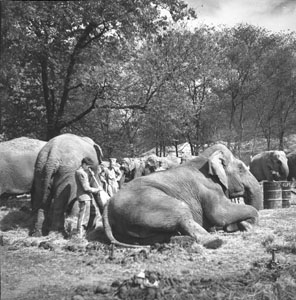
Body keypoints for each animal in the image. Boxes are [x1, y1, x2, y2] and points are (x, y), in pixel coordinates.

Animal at [103, 143, 262, 248]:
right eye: (241, 168)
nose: (240, 225)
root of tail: (107, 205)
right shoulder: (209, 189)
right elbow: (220, 215)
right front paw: (243, 225)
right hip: (146, 201)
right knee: (181, 213)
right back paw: (214, 241)